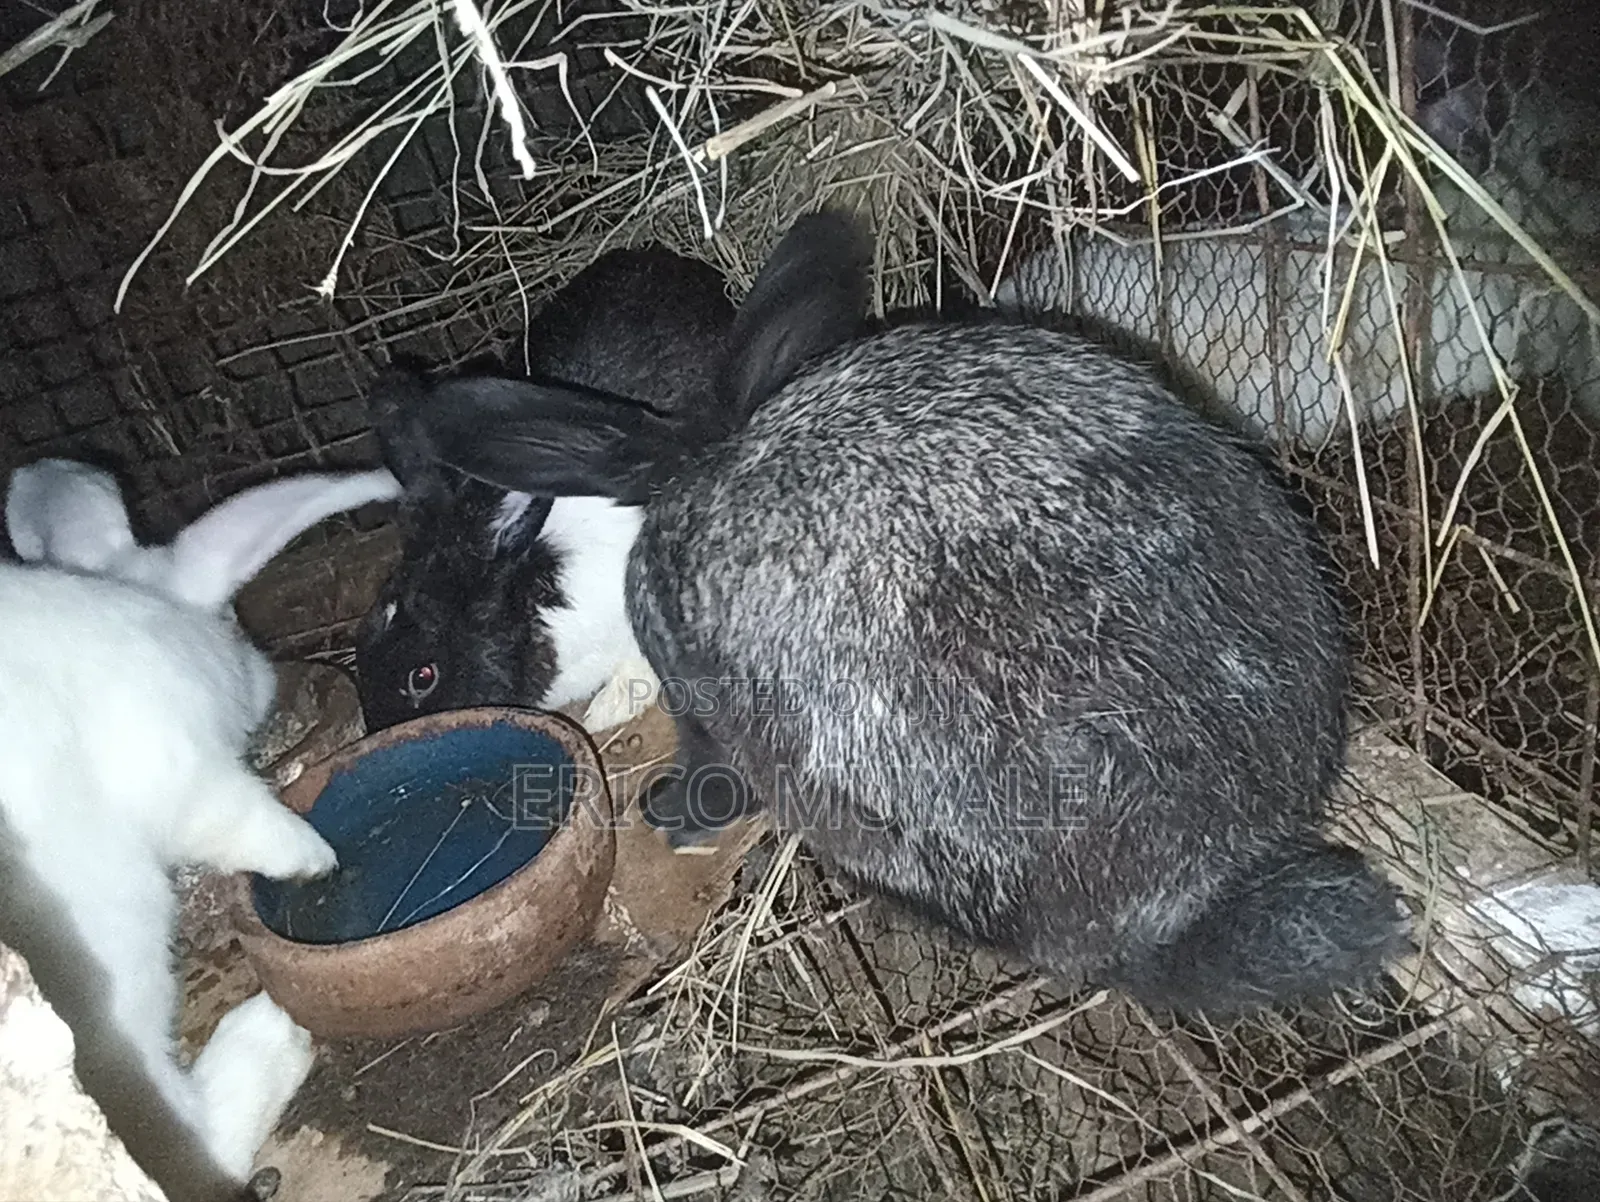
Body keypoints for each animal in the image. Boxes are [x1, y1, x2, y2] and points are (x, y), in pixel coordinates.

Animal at [0, 456, 400, 1200]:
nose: (259, 674)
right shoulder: (183, 770)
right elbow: (249, 823)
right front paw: (315, 858)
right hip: (114, 964)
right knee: (186, 1134)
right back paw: (268, 1039)